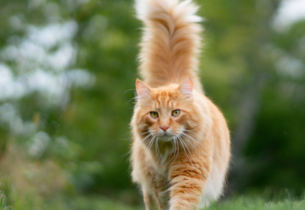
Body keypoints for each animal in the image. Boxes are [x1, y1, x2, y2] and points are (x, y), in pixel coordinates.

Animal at [129, 0, 230, 209]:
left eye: (175, 113)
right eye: (154, 115)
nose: (164, 127)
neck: (168, 157)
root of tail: (173, 80)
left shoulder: (189, 176)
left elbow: (182, 203)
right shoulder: (158, 186)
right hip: (148, 187)